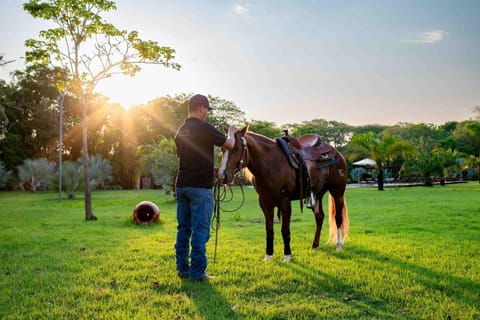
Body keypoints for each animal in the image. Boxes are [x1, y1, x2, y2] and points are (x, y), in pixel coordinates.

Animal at [218, 126, 348, 262]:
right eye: (222, 149)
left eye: (237, 148)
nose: (222, 176)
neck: (272, 164)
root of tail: (337, 153)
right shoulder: (265, 202)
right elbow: (269, 229)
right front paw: (268, 256)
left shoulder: (284, 201)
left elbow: (285, 230)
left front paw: (287, 256)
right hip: (317, 194)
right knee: (319, 217)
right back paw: (314, 245)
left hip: (337, 192)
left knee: (338, 217)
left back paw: (339, 245)